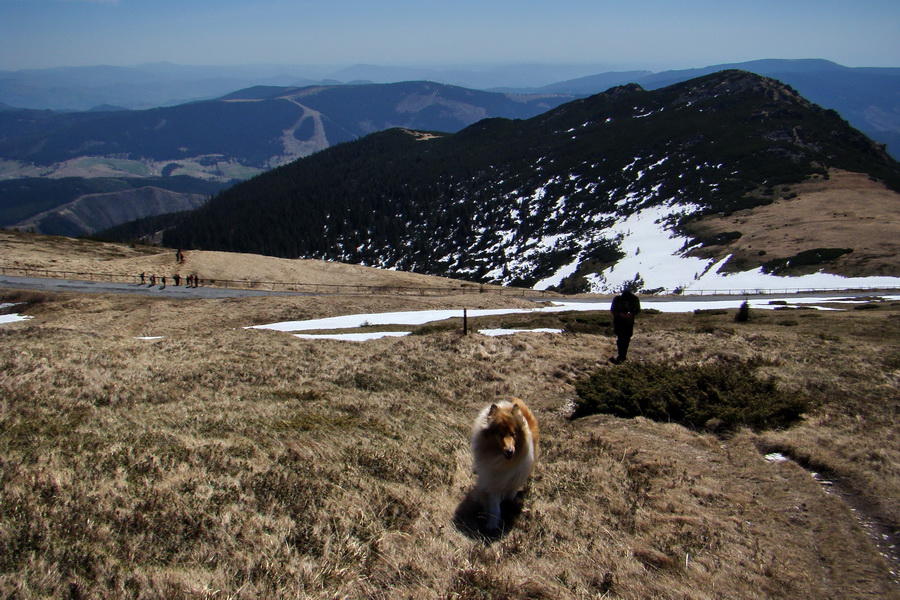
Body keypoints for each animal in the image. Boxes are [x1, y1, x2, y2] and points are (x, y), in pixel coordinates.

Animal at [474, 398, 536, 528]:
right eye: (500, 434)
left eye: (513, 434)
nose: (509, 451)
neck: (503, 462)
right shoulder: (494, 481)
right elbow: (494, 505)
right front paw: (492, 524)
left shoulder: (514, 482)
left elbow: (509, 496)